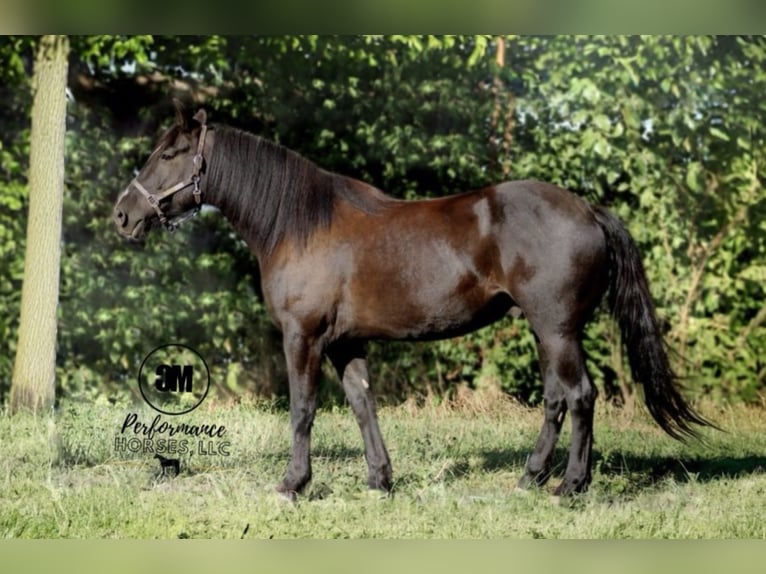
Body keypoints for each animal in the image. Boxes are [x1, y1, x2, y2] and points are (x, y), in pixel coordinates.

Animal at [113, 101, 713, 500]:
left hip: (558, 329)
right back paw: (530, 476)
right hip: (548, 331)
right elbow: (362, 405)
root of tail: (588, 209)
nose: (123, 215)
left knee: (581, 396)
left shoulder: (303, 337)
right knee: (555, 399)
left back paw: (569, 485)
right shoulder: (345, 343)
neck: (300, 225)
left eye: (170, 153)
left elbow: (303, 410)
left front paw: (293, 484)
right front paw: (380, 480)